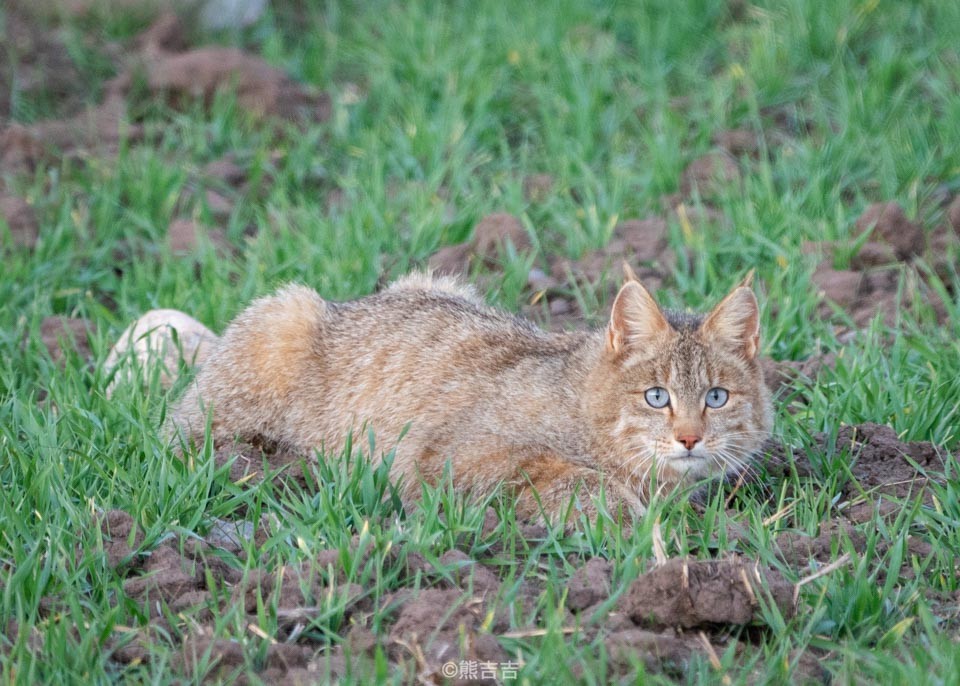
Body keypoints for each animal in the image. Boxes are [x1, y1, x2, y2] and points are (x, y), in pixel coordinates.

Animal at [169, 272, 772, 524]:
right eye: (656, 396)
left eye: (716, 397)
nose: (690, 438)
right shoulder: (446, 455)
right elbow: (566, 474)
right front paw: (627, 517)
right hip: (283, 316)